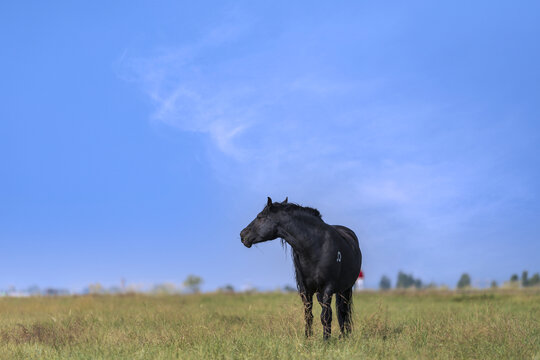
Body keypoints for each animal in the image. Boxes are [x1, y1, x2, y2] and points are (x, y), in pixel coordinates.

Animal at [240, 197, 362, 340]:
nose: (242, 235)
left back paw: (345, 335)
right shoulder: (305, 290)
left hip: (345, 289)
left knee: (343, 311)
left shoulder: (328, 287)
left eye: (260, 217)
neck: (315, 247)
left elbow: (326, 316)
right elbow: (309, 316)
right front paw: (308, 339)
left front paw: (326, 340)